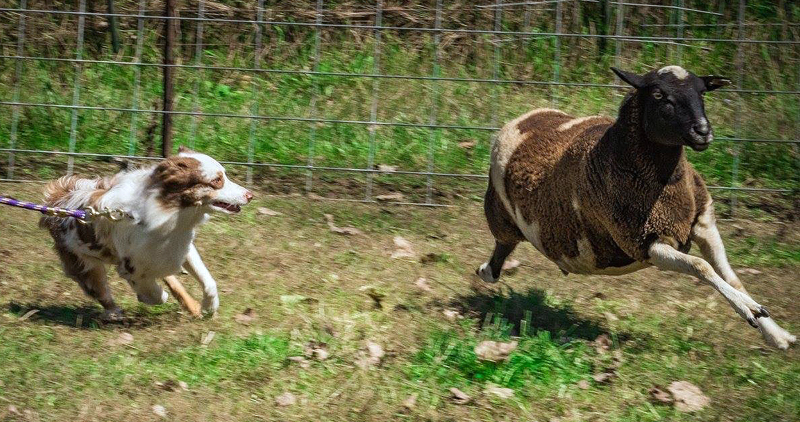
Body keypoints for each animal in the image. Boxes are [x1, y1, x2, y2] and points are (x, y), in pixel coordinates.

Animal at [39, 146, 253, 320]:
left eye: (224, 176)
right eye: (216, 181)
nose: (250, 195)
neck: (173, 213)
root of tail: (57, 197)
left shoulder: (181, 245)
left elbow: (208, 281)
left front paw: (210, 306)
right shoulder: (132, 266)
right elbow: (154, 292)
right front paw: (153, 296)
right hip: (84, 263)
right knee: (100, 290)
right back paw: (114, 312)